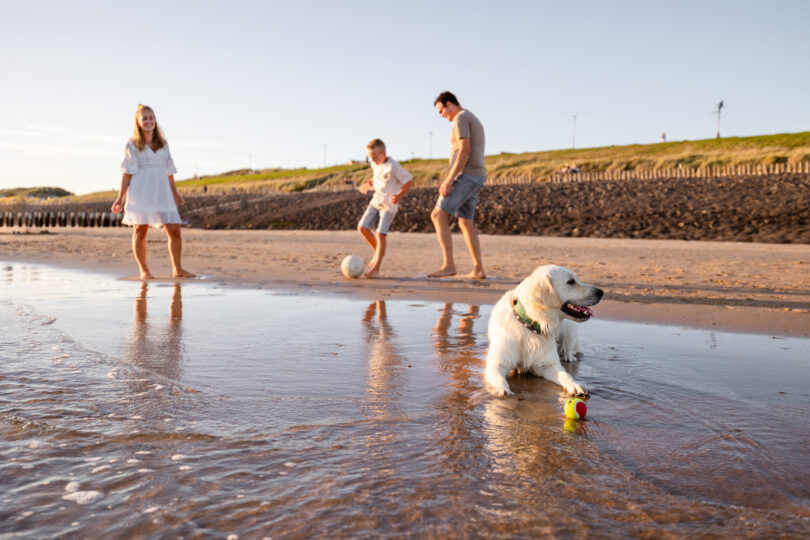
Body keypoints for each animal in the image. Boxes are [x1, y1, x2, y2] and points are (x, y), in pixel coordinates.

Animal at [482, 266, 604, 396]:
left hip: (570, 329)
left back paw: (568, 356)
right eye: (570, 281)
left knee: (569, 347)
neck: (530, 325)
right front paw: (503, 389)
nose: (601, 292)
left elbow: (565, 375)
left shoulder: (548, 365)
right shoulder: (497, 363)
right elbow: (499, 378)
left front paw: (575, 384)